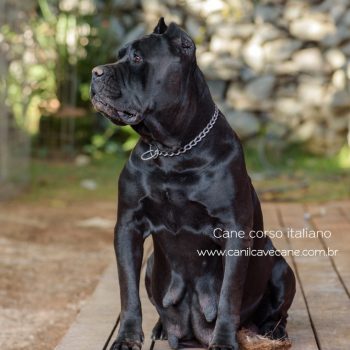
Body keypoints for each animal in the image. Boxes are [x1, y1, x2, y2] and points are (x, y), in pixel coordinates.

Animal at [91, 18, 296, 350]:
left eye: (137, 57)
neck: (172, 150)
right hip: (151, 264)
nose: (95, 72)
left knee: (277, 312)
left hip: (280, 267)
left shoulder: (234, 231)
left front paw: (223, 340)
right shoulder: (128, 226)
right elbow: (128, 293)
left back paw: (273, 331)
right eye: (119, 55)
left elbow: (228, 295)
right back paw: (162, 327)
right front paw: (127, 338)